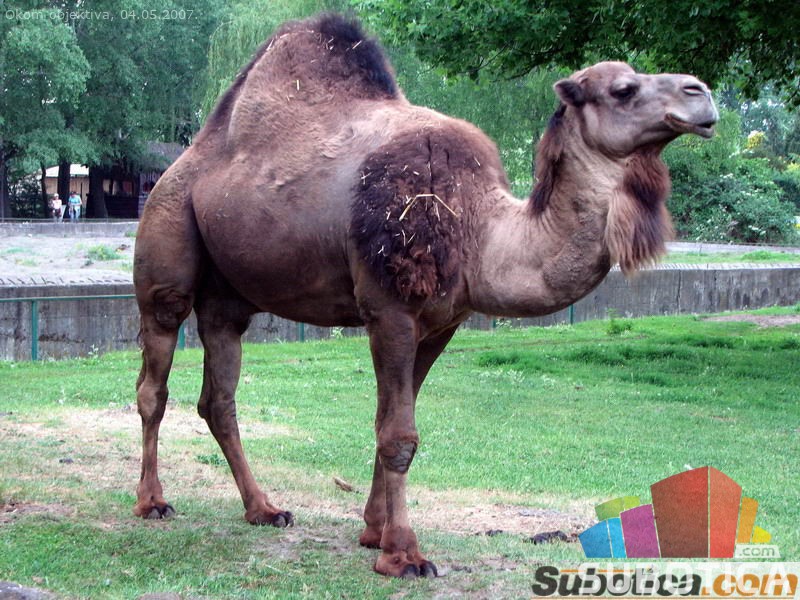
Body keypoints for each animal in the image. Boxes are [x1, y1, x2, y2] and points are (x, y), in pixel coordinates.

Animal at [132, 13, 718, 578]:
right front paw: (404, 555)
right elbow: (398, 435)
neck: (478, 228)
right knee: (154, 379)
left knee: (219, 396)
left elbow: (391, 421)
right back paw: (153, 502)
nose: (702, 94)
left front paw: (373, 532)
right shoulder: (388, 309)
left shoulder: (441, 323)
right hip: (167, 242)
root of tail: (188, 159)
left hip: (229, 296)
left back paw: (264, 509)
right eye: (623, 89)